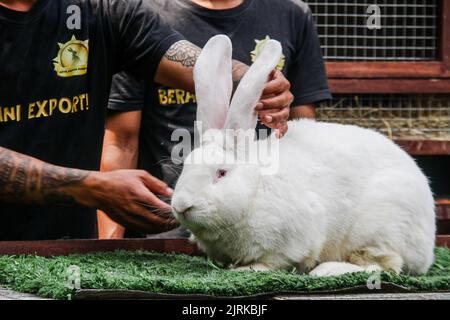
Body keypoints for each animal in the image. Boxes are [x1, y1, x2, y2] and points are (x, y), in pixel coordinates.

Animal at [171, 34, 436, 276]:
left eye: (221, 173)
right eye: (186, 166)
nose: (182, 205)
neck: (255, 190)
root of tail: (428, 246)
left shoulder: (293, 237)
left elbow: (273, 261)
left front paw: (247, 270)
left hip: (379, 229)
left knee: (386, 265)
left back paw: (328, 270)